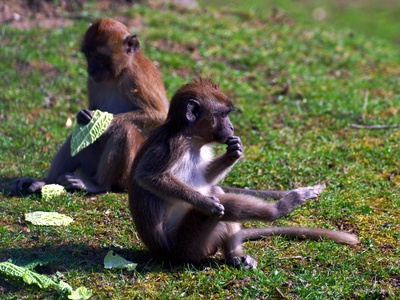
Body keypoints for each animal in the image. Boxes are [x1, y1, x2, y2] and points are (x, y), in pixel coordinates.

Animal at [12, 17, 169, 195]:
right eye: (88, 55)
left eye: (100, 56)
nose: (91, 69)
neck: (117, 74)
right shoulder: (93, 82)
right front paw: (82, 115)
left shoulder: (138, 78)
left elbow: (160, 116)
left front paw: (104, 122)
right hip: (92, 166)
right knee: (77, 136)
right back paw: (46, 181)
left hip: (128, 177)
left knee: (125, 131)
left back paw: (98, 185)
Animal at [129, 78, 360, 270]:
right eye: (223, 115)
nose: (231, 127)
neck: (191, 139)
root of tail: (164, 254)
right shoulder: (173, 146)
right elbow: (147, 176)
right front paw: (206, 203)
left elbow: (205, 177)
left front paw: (234, 153)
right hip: (185, 245)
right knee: (223, 206)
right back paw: (279, 209)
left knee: (218, 192)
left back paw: (235, 256)